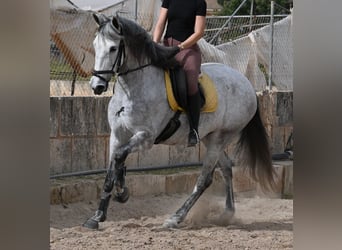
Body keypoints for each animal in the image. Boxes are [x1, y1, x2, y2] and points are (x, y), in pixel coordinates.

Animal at [83, 12, 276, 229]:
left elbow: (118, 157)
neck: (132, 89)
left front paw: (122, 192)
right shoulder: (117, 135)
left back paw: (176, 217)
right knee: (226, 168)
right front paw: (98, 215)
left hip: (221, 138)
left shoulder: (146, 137)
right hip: (210, 137)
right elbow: (112, 167)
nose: (97, 86)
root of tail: (247, 84)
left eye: (113, 48)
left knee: (205, 179)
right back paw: (227, 213)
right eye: (95, 45)